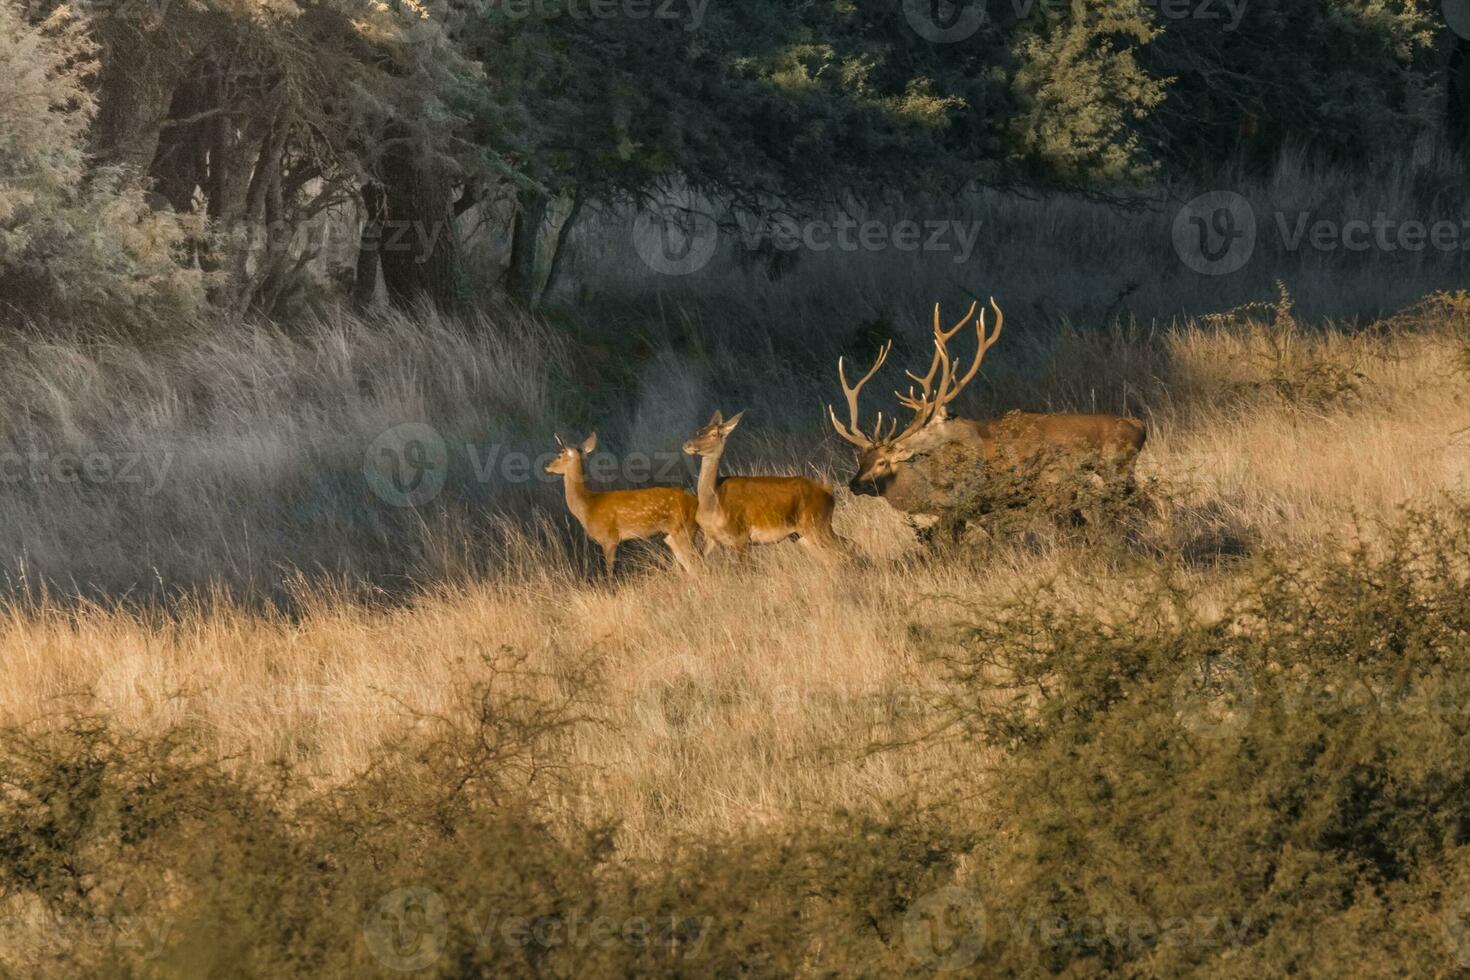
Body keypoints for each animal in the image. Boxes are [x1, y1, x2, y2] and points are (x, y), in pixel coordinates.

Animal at [543, 434, 702, 575]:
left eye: (559, 455)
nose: (547, 466)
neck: (587, 506)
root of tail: (696, 501)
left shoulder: (609, 538)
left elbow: (609, 571)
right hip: (674, 534)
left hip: (683, 528)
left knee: (695, 563)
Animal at [679, 411, 846, 564]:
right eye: (699, 431)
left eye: (714, 434)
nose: (687, 445)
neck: (713, 503)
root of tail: (829, 493)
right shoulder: (710, 537)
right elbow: (700, 559)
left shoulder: (740, 536)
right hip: (801, 535)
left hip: (817, 524)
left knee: (842, 547)